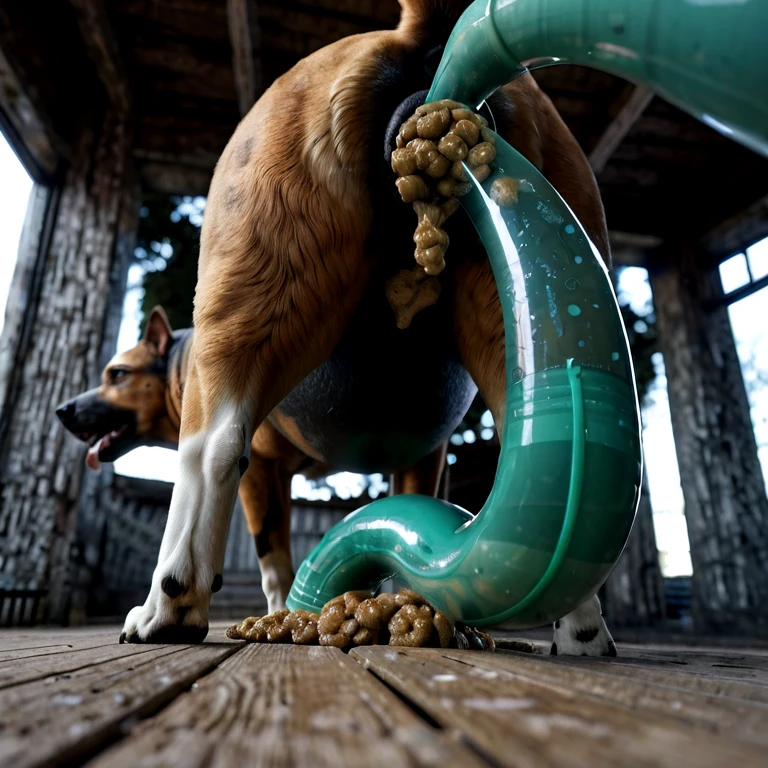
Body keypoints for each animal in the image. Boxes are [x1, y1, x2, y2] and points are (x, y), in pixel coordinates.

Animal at [58, 1, 616, 660]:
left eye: (115, 373)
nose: (65, 410)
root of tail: (417, 42)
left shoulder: (263, 472)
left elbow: (272, 551)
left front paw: (277, 610)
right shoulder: (423, 455)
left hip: (247, 308)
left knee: (211, 454)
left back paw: (167, 608)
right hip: (512, 319)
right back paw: (581, 630)